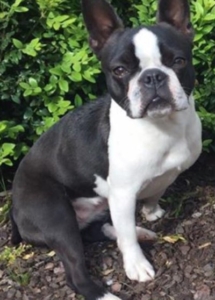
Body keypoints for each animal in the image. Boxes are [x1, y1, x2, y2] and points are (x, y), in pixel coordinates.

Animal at [11, 0, 202, 298]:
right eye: (119, 70)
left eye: (178, 61)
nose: (153, 76)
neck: (162, 126)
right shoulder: (122, 195)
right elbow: (127, 235)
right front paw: (136, 264)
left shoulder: (165, 176)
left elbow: (154, 194)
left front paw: (150, 213)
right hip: (56, 214)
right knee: (76, 271)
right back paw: (106, 292)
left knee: (93, 231)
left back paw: (139, 232)